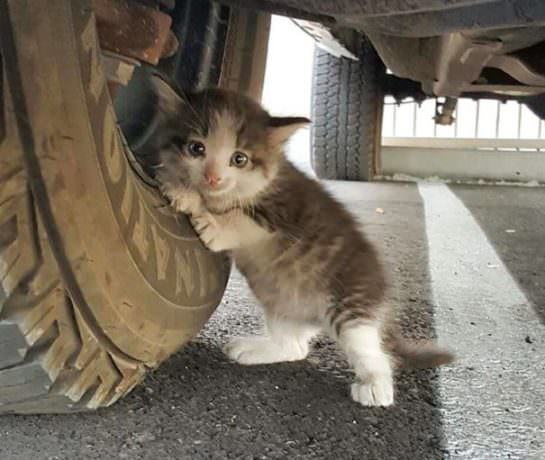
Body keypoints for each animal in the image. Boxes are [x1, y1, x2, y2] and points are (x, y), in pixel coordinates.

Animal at [151, 76, 452, 410]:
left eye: (239, 158)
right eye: (196, 148)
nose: (213, 178)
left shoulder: (286, 213)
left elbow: (238, 218)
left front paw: (196, 203)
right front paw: (180, 185)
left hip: (351, 303)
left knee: (371, 349)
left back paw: (376, 386)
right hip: (281, 304)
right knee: (295, 347)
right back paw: (255, 349)